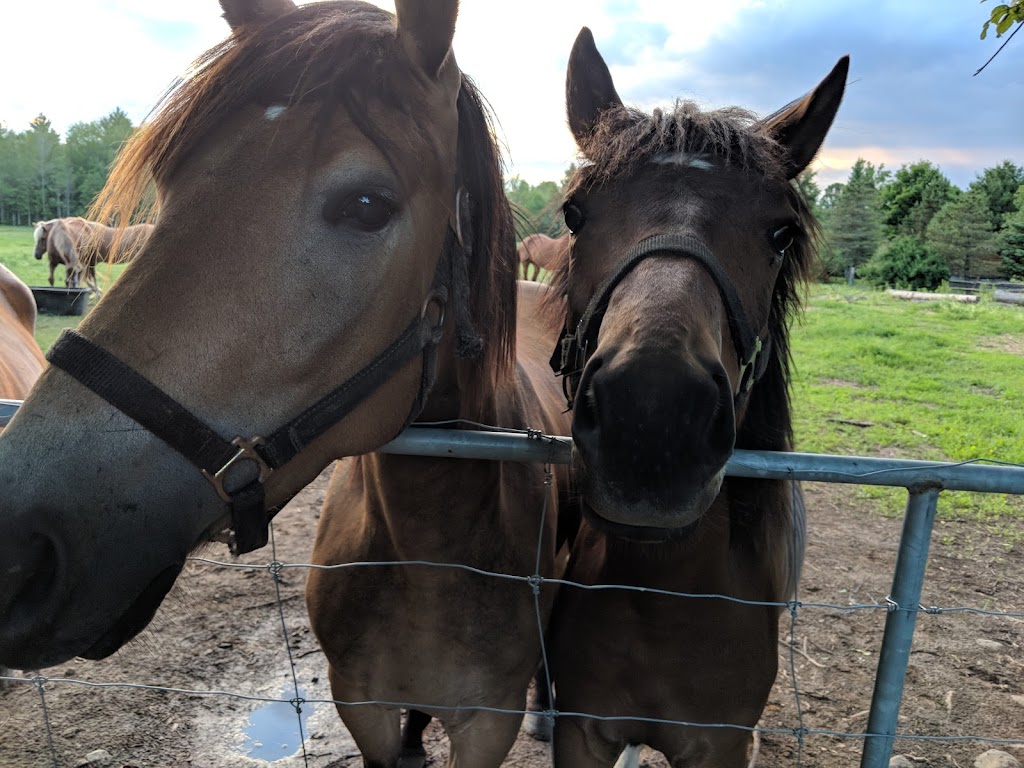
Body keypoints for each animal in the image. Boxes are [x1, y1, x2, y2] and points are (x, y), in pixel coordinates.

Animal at [544, 25, 847, 768]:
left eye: (780, 233)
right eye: (575, 212)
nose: (652, 421)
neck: (660, 594)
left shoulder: (718, 745)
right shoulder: (581, 729)